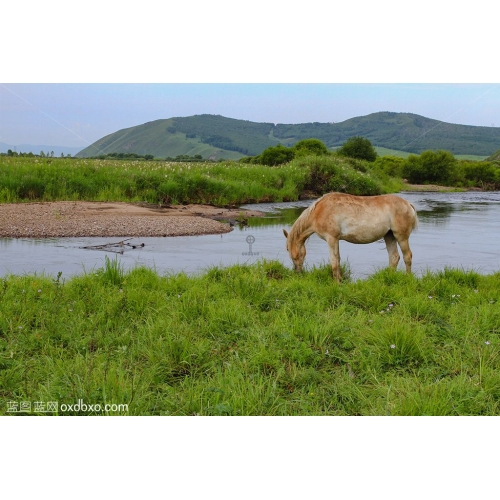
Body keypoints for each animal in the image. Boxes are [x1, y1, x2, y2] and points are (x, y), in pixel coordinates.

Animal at [282, 192, 418, 282]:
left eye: (288, 249)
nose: (297, 271)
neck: (319, 211)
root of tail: (408, 204)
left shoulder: (332, 238)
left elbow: (334, 262)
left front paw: (336, 283)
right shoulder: (335, 240)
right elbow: (338, 260)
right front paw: (340, 280)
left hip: (401, 237)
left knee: (407, 256)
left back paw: (408, 279)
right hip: (389, 236)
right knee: (394, 257)